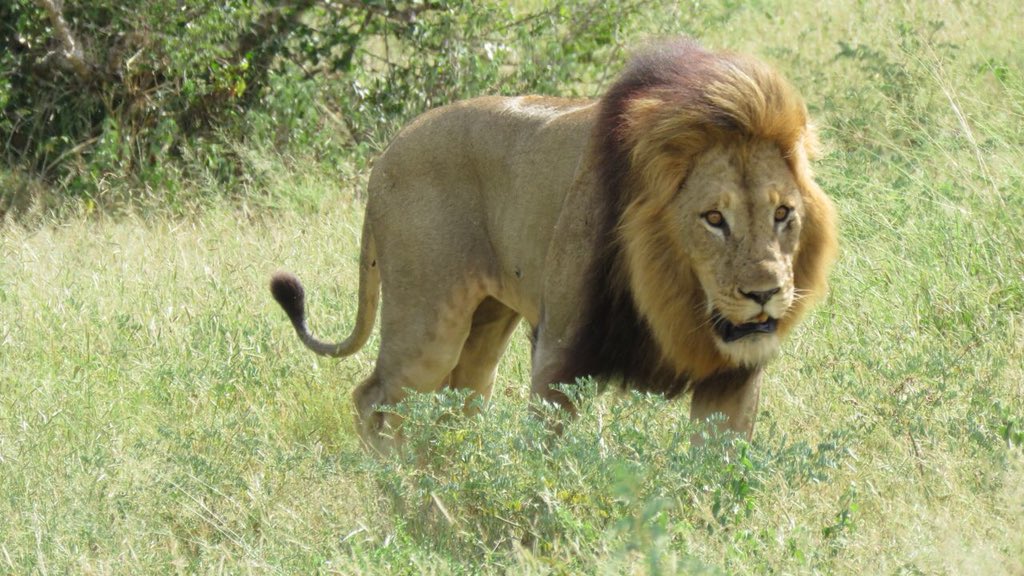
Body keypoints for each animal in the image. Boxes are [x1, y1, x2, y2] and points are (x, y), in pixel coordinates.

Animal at [270, 40, 837, 451]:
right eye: (714, 218)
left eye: (783, 214)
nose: (765, 294)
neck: (674, 299)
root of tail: (387, 152)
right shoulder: (560, 355)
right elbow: (546, 465)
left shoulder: (732, 379)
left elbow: (716, 470)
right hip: (427, 324)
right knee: (373, 399)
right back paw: (397, 485)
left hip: (485, 326)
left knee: (455, 405)